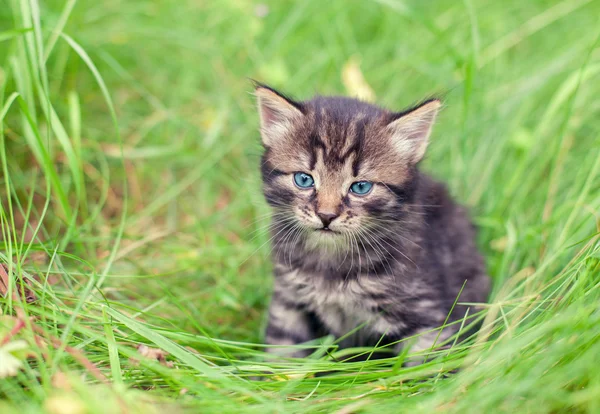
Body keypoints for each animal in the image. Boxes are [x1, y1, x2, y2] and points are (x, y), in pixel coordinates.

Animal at [255, 83, 490, 362]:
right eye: (304, 179)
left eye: (361, 187)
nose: (326, 215)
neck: (331, 266)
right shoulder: (289, 302)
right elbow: (283, 353)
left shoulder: (427, 313)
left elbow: (424, 366)